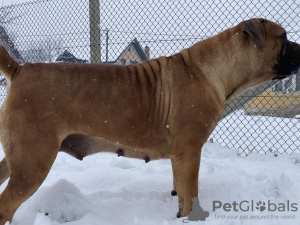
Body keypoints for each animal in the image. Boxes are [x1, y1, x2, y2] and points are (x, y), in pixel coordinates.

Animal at [0, 18, 298, 222]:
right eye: (283, 36)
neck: (214, 69)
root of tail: (21, 69)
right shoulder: (190, 152)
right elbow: (190, 195)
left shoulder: (180, 157)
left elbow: (181, 191)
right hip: (32, 162)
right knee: (7, 205)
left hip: (20, 158)